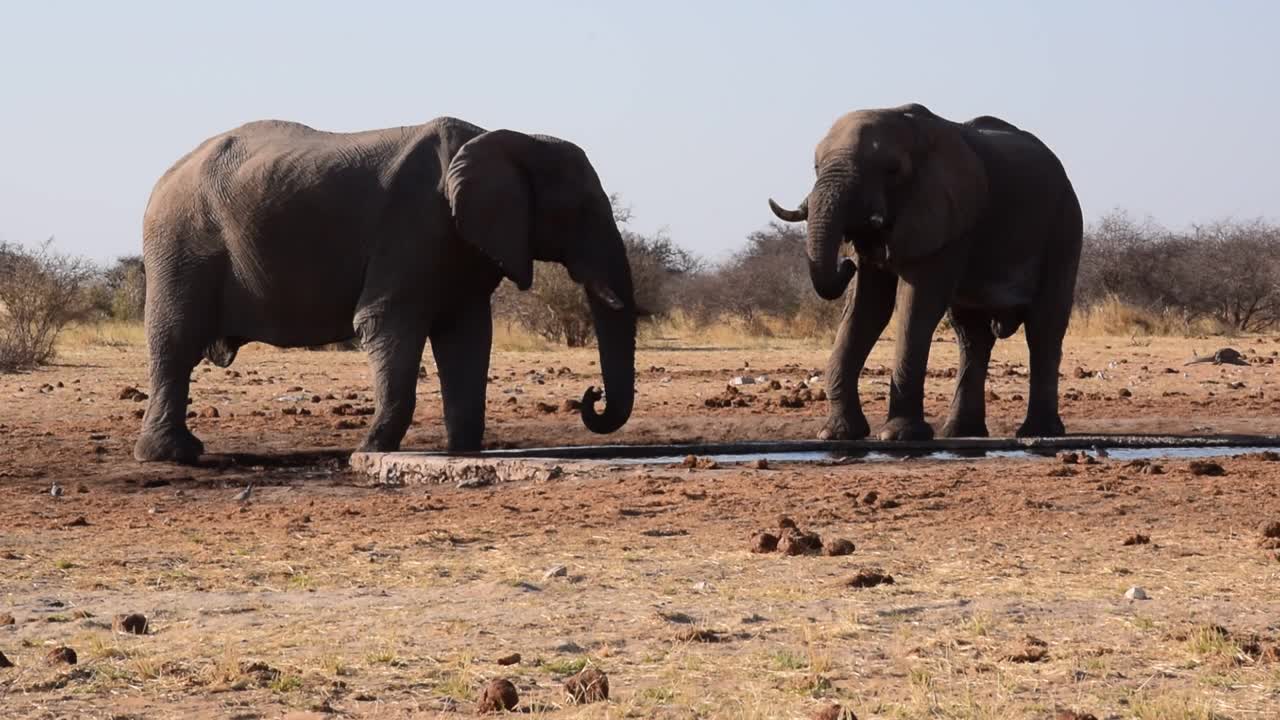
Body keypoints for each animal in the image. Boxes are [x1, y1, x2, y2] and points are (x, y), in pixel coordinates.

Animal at [135, 114, 634, 461]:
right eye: (580, 212)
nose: (591, 396)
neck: (508, 139)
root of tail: (164, 178)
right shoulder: (414, 225)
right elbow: (384, 322)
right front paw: (369, 451)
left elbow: (467, 338)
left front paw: (462, 454)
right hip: (182, 242)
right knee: (176, 342)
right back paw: (174, 457)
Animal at [768, 101, 1080, 438]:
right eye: (816, 167)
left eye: (891, 170)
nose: (846, 263)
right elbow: (866, 309)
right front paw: (837, 434)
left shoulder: (948, 219)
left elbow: (916, 307)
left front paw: (899, 435)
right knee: (972, 335)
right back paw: (960, 432)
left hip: (1064, 229)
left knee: (1043, 327)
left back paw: (1037, 431)